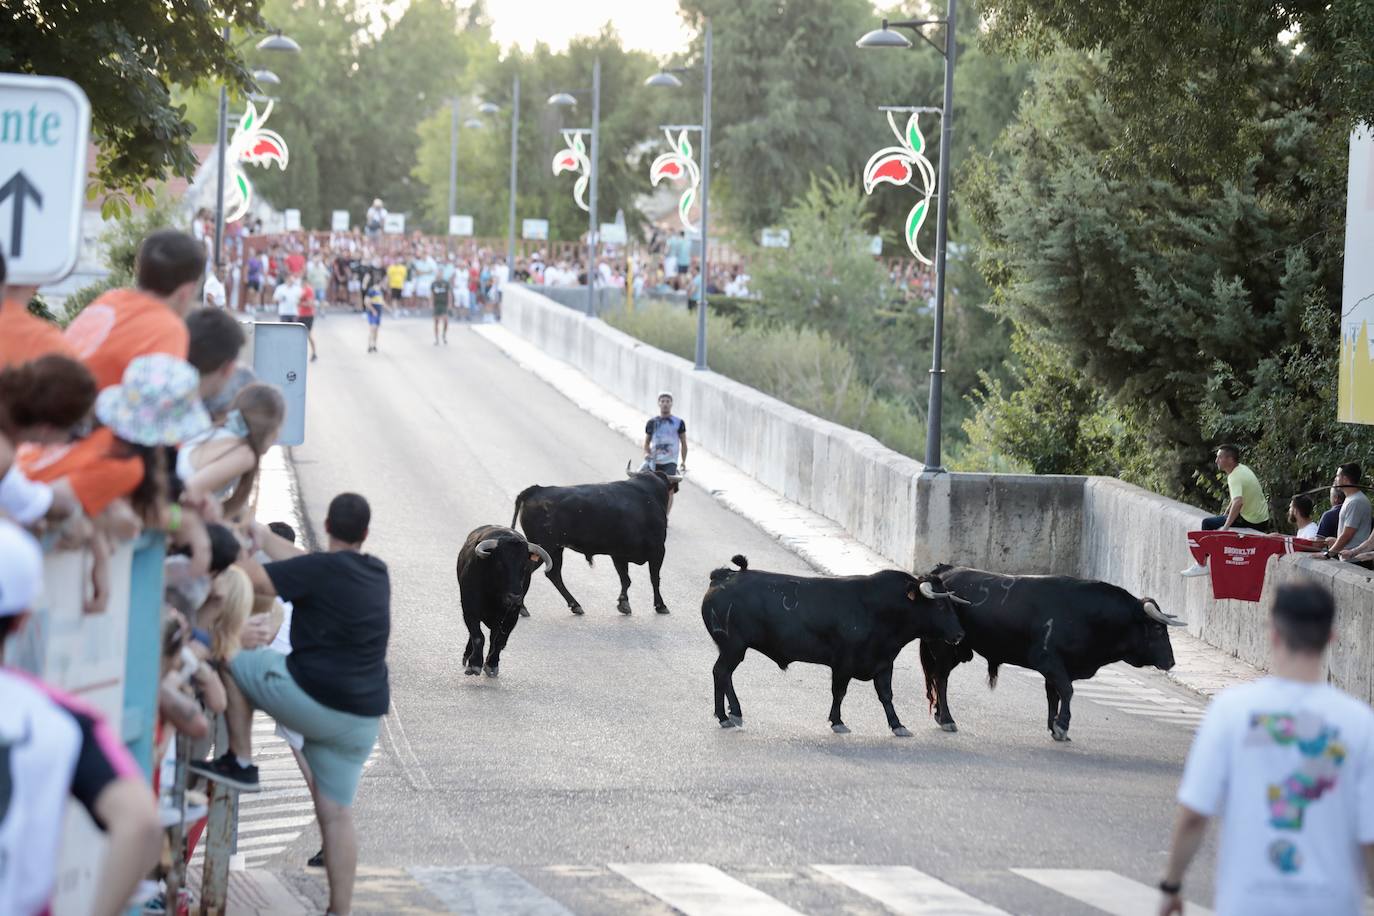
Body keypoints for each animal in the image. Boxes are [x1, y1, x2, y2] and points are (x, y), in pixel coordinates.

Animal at [511, 472, 681, 615]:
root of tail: (537, 489)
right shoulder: (658, 551)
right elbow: (654, 579)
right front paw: (661, 605)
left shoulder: (619, 554)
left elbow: (625, 579)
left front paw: (624, 604)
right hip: (545, 547)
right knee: (532, 571)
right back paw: (523, 607)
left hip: (555, 550)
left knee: (554, 574)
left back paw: (575, 605)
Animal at [697, 552, 967, 736]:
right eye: (939, 605)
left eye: (951, 605)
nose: (959, 634)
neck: (881, 609)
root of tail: (723, 575)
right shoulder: (843, 663)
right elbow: (839, 692)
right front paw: (837, 722)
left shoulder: (884, 662)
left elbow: (886, 695)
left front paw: (898, 725)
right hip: (733, 647)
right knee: (720, 672)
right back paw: (726, 715)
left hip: (732, 648)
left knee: (725, 675)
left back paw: (733, 713)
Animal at [917, 565, 1187, 747]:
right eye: (1158, 628)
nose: (1171, 661)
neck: (1088, 615)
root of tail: (943, 571)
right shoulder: (1048, 660)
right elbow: (1066, 690)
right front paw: (1061, 725)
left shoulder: (1058, 667)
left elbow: (1053, 693)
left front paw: (1053, 724)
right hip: (945, 648)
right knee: (941, 678)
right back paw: (947, 718)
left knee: (939, 678)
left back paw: (940, 715)